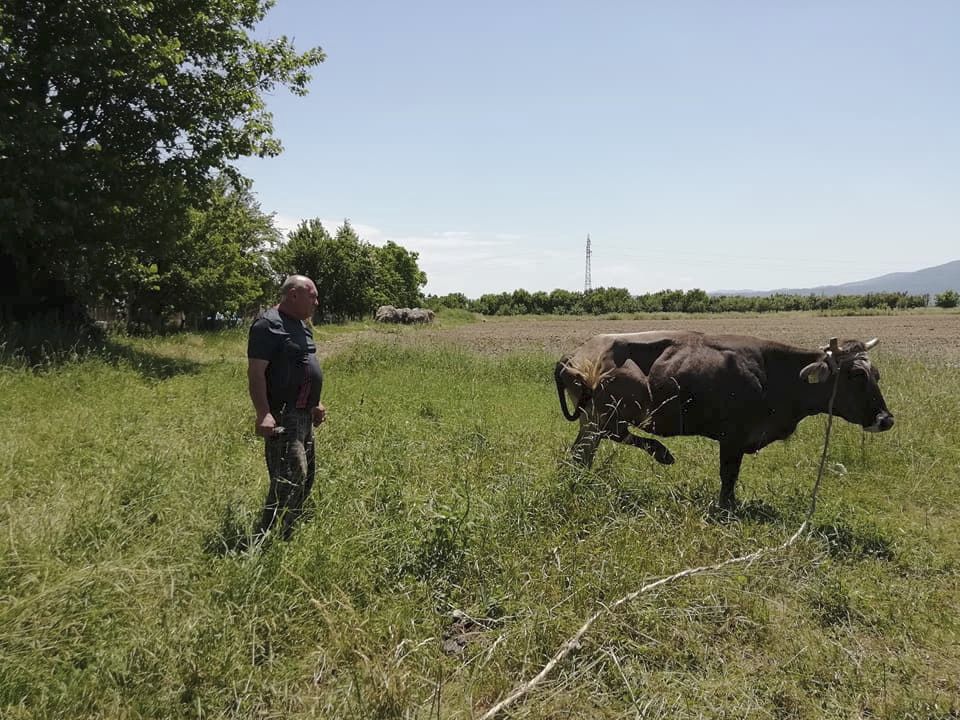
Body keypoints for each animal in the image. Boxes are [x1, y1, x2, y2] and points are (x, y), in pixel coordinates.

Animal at [556, 330, 892, 510]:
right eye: (856, 375)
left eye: (876, 374)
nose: (886, 419)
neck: (774, 374)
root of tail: (574, 355)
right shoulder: (733, 437)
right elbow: (728, 476)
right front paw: (726, 507)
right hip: (609, 412)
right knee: (612, 435)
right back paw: (662, 453)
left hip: (592, 420)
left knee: (581, 454)